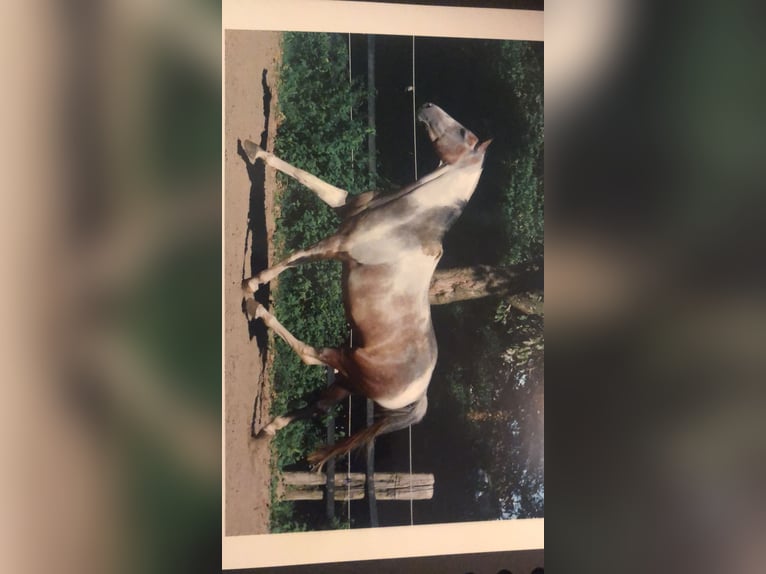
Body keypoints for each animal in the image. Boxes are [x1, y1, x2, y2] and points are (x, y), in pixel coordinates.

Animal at [242, 103, 492, 470]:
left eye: (463, 133)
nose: (427, 107)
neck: (407, 219)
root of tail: (421, 394)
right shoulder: (344, 206)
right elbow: (306, 177)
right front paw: (253, 149)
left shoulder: (337, 246)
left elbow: (292, 260)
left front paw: (251, 284)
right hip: (349, 381)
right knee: (318, 405)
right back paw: (268, 429)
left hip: (346, 363)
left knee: (310, 356)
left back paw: (256, 308)